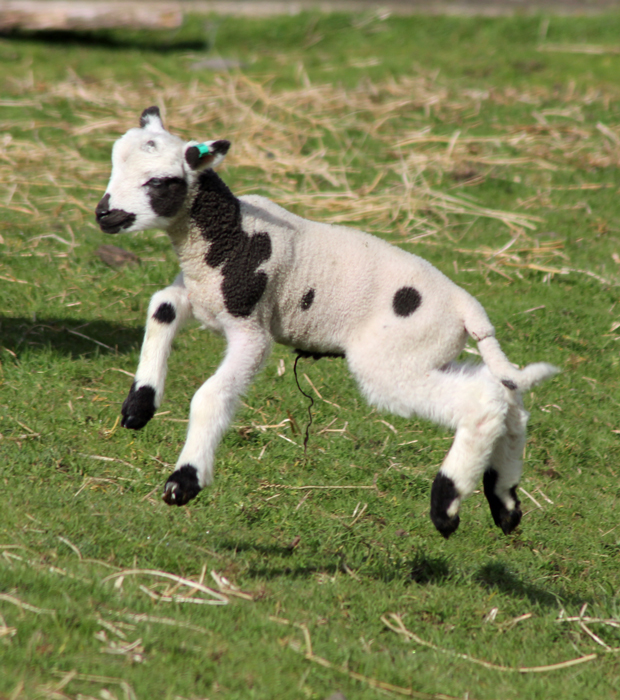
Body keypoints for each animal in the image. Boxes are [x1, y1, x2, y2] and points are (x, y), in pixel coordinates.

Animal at [95, 106, 558, 538]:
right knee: (504, 395)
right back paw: (505, 503)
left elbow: (209, 396)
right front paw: (138, 407)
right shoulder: (202, 297)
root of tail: (467, 306)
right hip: (426, 351)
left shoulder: (251, 329)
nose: (104, 214)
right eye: (115, 164)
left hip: (390, 359)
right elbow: (162, 306)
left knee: (481, 403)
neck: (230, 234)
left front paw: (184, 481)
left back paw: (445, 506)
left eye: (159, 182)